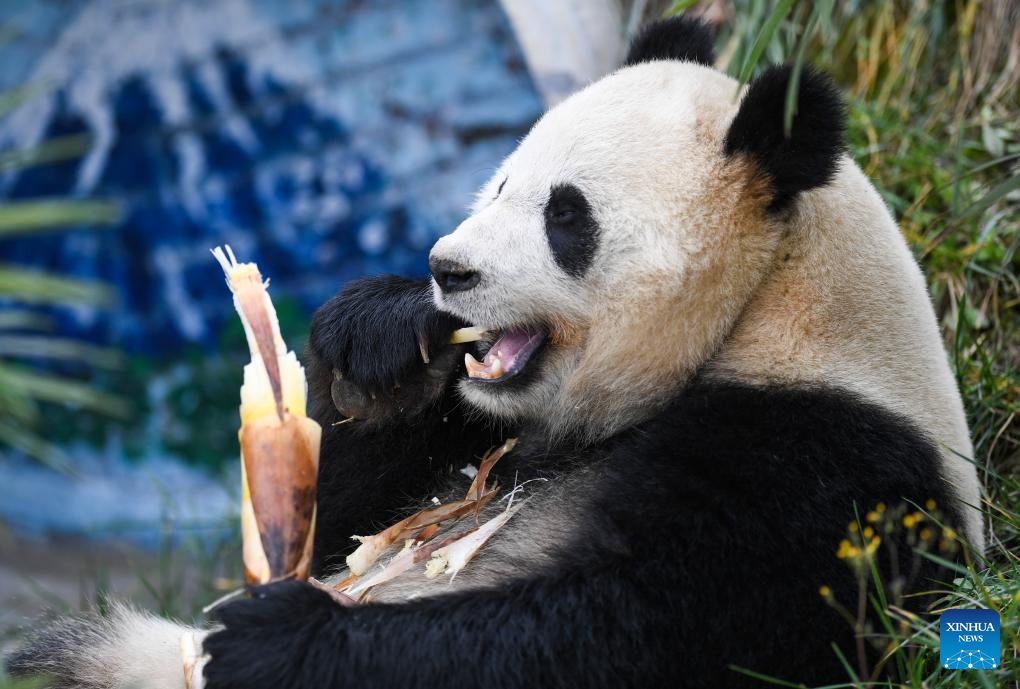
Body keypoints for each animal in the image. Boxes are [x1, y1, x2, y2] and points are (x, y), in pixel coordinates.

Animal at [7, 16, 979, 689]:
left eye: (566, 214)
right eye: (503, 180)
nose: (449, 267)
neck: (767, 308)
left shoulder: (817, 468)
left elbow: (626, 629)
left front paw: (276, 637)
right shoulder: (474, 428)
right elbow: (333, 521)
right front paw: (384, 342)